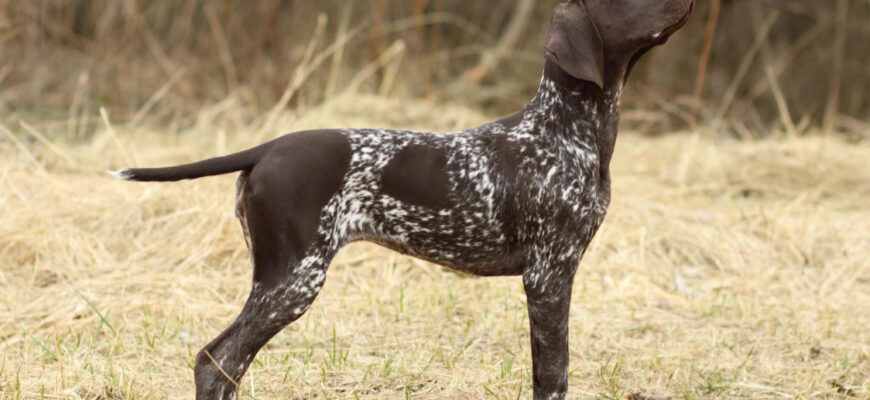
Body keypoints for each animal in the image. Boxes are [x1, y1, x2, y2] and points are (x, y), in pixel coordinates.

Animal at [110, 1, 696, 398]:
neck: (564, 129)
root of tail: (268, 148)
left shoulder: (554, 275)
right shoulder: (548, 276)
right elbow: (553, 374)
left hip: (280, 279)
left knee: (226, 363)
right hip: (293, 279)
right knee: (216, 360)